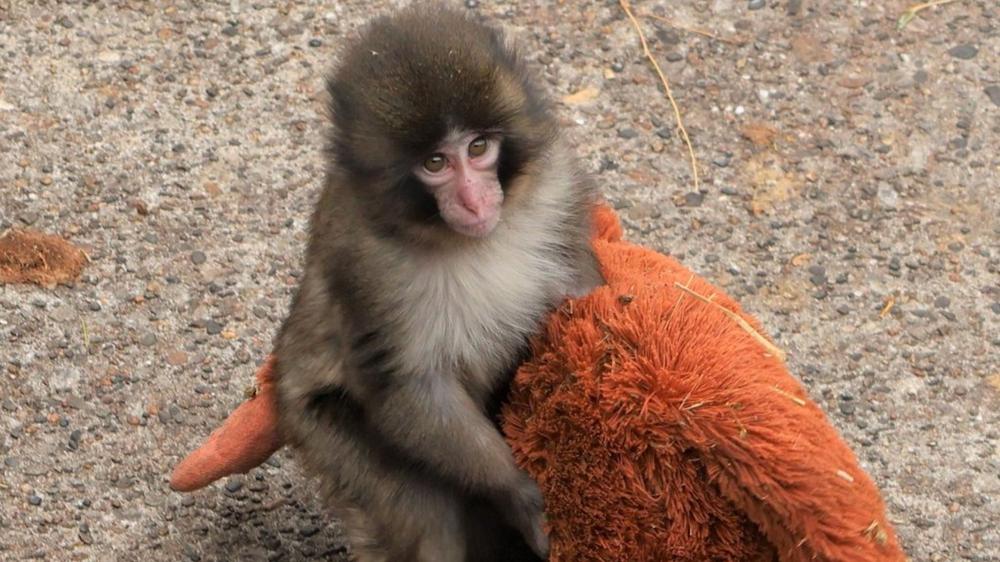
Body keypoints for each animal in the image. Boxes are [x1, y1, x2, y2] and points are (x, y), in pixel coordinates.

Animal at [273, 5, 603, 562]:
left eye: (478, 147)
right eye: (435, 163)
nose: (473, 200)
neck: (463, 240)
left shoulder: (556, 186)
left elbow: (581, 285)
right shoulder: (367, 265)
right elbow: (409, 384)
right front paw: (519, 493)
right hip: (322, 431)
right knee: (423, 509)